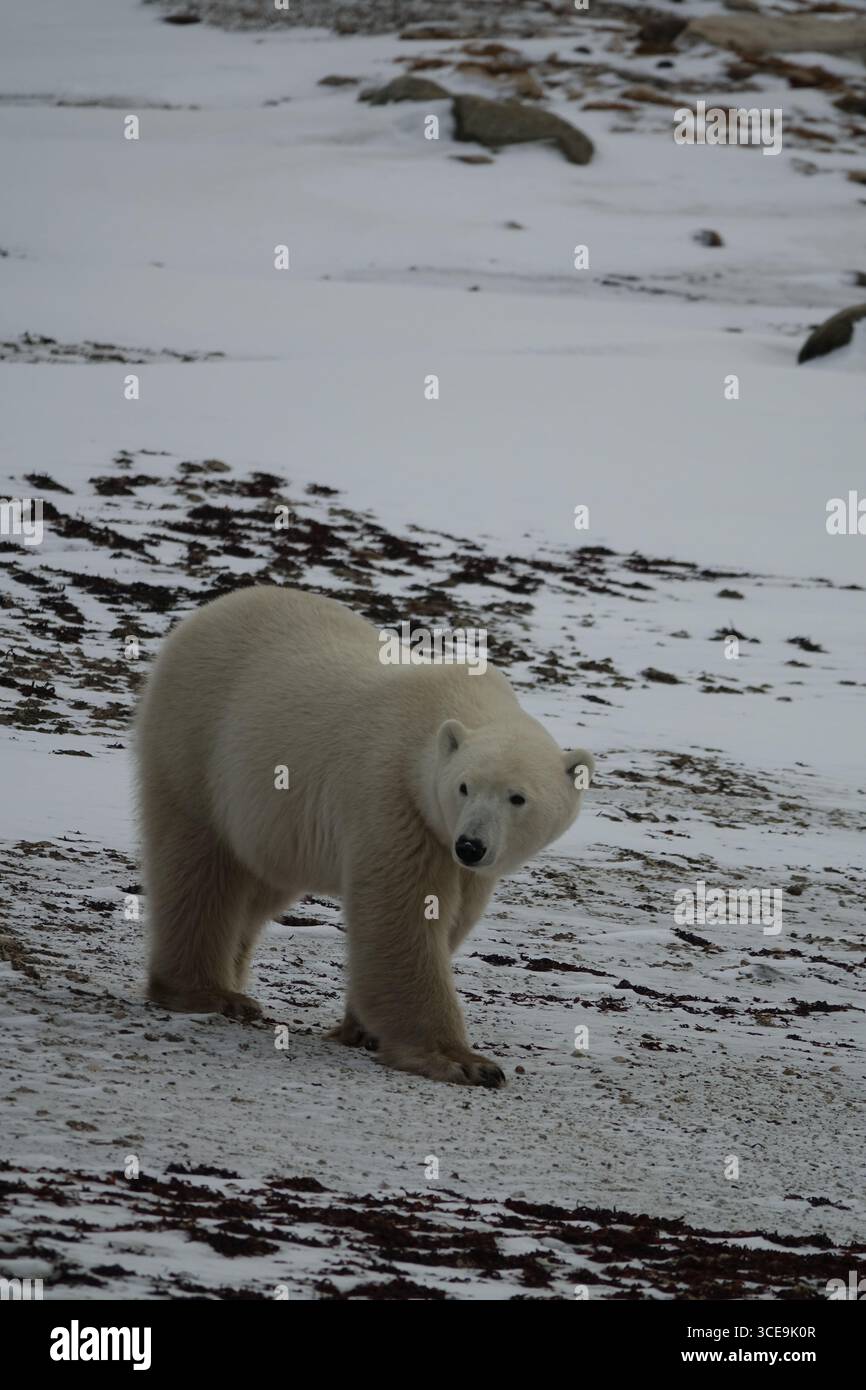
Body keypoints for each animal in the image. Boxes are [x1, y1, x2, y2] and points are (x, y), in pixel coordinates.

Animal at [135, 585, 594, 1086]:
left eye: (517, 797)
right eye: (464, 786)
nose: (471, 845)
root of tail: (209, 611)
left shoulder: (454, 849)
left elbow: (451, 916)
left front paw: (362, 1028)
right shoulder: (393, 795)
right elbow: (405, 913)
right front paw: (464, 1061)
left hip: (269, 821)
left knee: (258, 886)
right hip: (197, 743)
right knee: (199, 867)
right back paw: (209, 994)